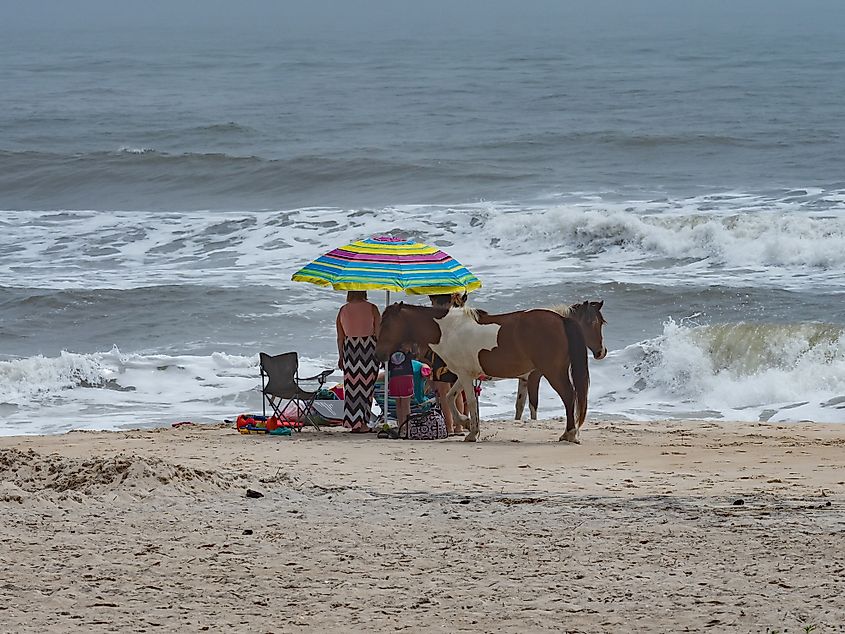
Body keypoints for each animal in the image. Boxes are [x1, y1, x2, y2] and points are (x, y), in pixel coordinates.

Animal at [372, 304, 596, 442]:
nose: (378, 354)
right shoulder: (465, 374)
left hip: (553, 371)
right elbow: (451, 397)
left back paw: (570, 434)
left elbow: (469, 401)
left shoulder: (463, 374)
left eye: (387, 324)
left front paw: (472, 433)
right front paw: (466, 422)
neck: (448, 330)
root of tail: (561, 320)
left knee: (569, 396)